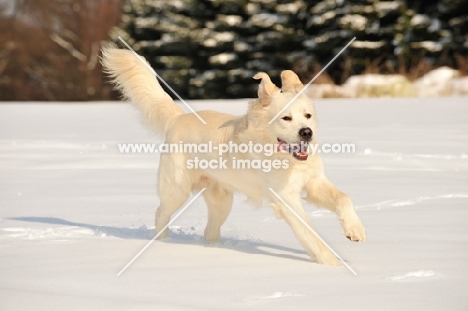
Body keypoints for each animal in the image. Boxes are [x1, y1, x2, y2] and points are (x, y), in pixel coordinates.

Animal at [102, 47, 366, 266]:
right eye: (286, 118)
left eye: (307, 115)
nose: (307, 133)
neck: (281, 156)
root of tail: (178, 118)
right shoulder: (285, 198)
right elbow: (311, 234)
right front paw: (332, 265)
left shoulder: (313, 183)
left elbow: (344, 198)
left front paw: (355, 230)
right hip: (176, 190)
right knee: (160, 214)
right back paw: (162, 244)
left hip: (221, 202)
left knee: (209, 230)